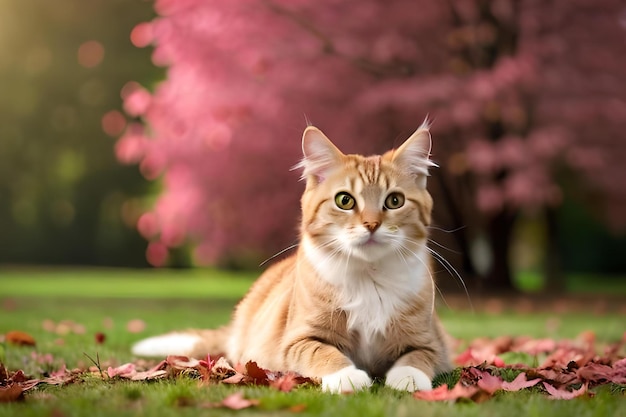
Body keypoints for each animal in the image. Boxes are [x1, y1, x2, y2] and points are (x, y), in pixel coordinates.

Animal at [133, 122, 454, 392]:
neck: (369, 276)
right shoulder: (297, 339)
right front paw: (347, 377)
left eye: (394, 201)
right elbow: (322, 352)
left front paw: (408, 378)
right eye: (345, 200)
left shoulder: (432, 343)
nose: (372, 224)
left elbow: (417, 357)